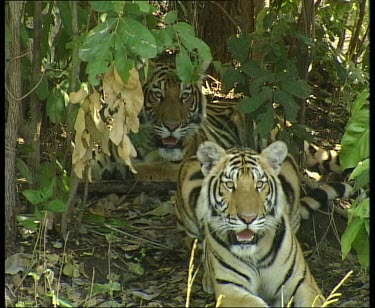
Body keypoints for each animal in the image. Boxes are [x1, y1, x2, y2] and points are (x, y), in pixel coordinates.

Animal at [177, 141, 368, 306]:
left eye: (260, 184)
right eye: (230, 185)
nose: (248, 218)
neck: (255, 253)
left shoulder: (302, 283)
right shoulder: (231, 291)